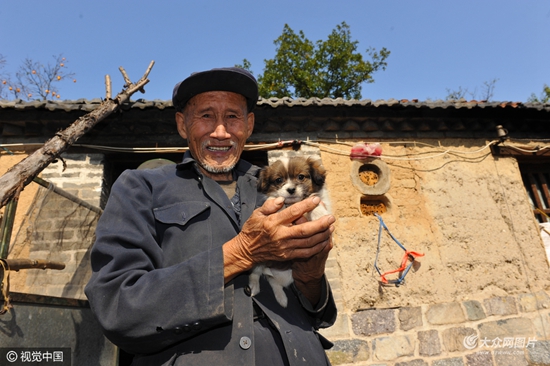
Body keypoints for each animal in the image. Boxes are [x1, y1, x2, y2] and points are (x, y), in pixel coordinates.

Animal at [251, 154, 332, 306]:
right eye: (279, 180)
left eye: (301, 177)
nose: (291, 190)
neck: (294, 203)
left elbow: (314, 201)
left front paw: (319, 214)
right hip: (258, 260)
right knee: (256, 273)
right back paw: (254, 287)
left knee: (273, 281)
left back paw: (281, 298)